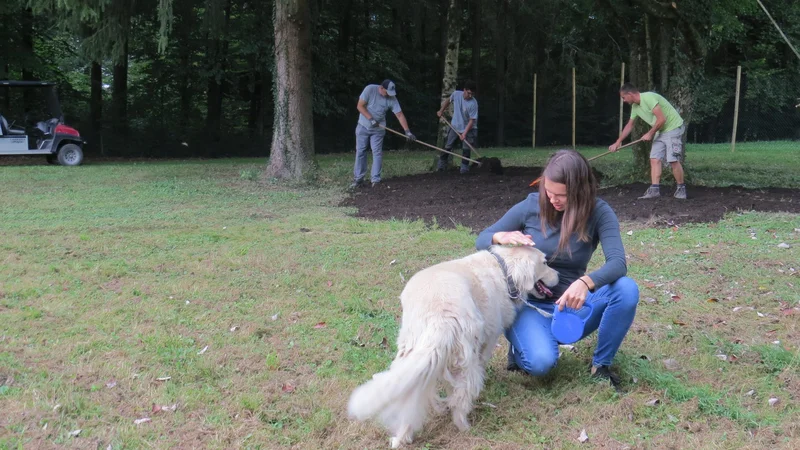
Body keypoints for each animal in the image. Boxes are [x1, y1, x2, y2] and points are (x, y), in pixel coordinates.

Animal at [346, 246, 560, 446]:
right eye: (545, 262)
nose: (558, 276)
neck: (504, 270)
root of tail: (440, 315)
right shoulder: (488, 341)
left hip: (411, 352)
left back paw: (402, 437)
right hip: (465, 359)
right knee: (461, 398)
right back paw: (464, 426)